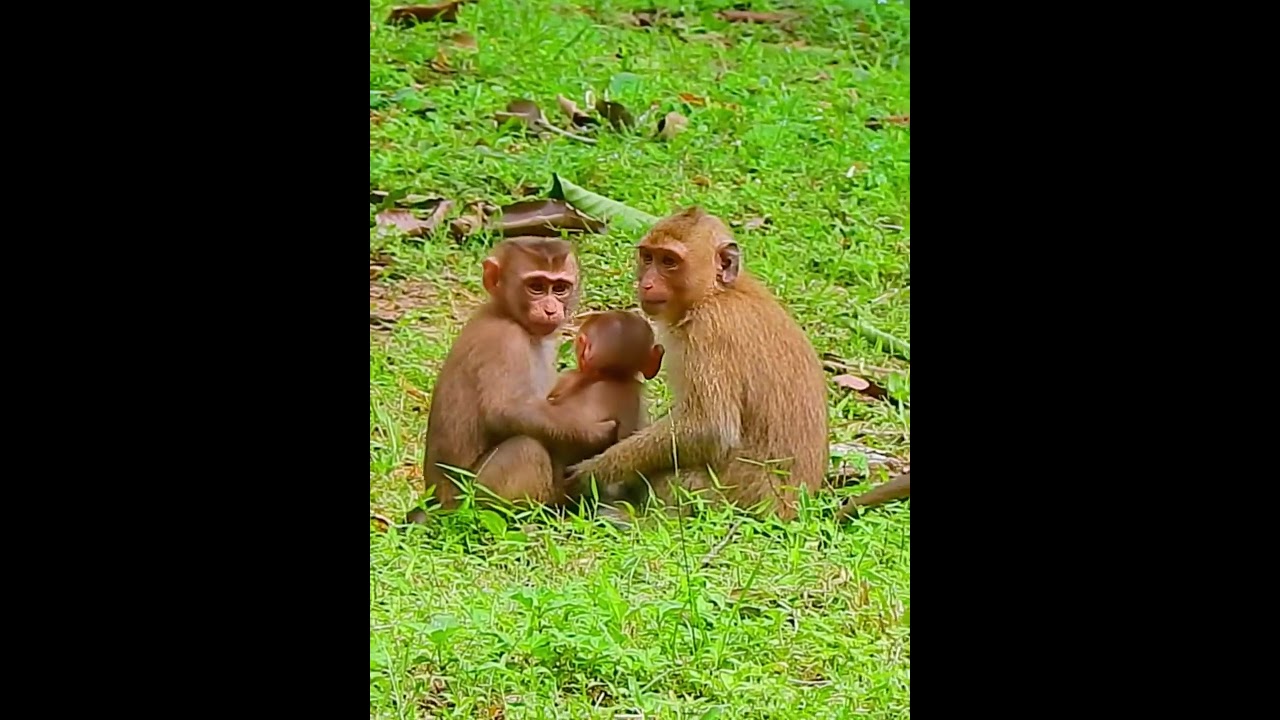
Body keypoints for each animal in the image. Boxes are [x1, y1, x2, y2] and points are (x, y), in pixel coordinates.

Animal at [408, 237, 617, 522]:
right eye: (536, 287)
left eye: (560, 288)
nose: (550, 309)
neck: (505, 313)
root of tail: (436, 504)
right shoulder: (505, 342)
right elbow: (507, 410)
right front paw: (596, 434)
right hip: (467, 501)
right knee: (526, 447)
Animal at [563, 207, 829, 520]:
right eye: (648, 257)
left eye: (669, 261)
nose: (646, 283)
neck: (716, 292)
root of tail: (792, 509)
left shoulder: (708, 331)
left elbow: (710, 429)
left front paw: (595, 471)